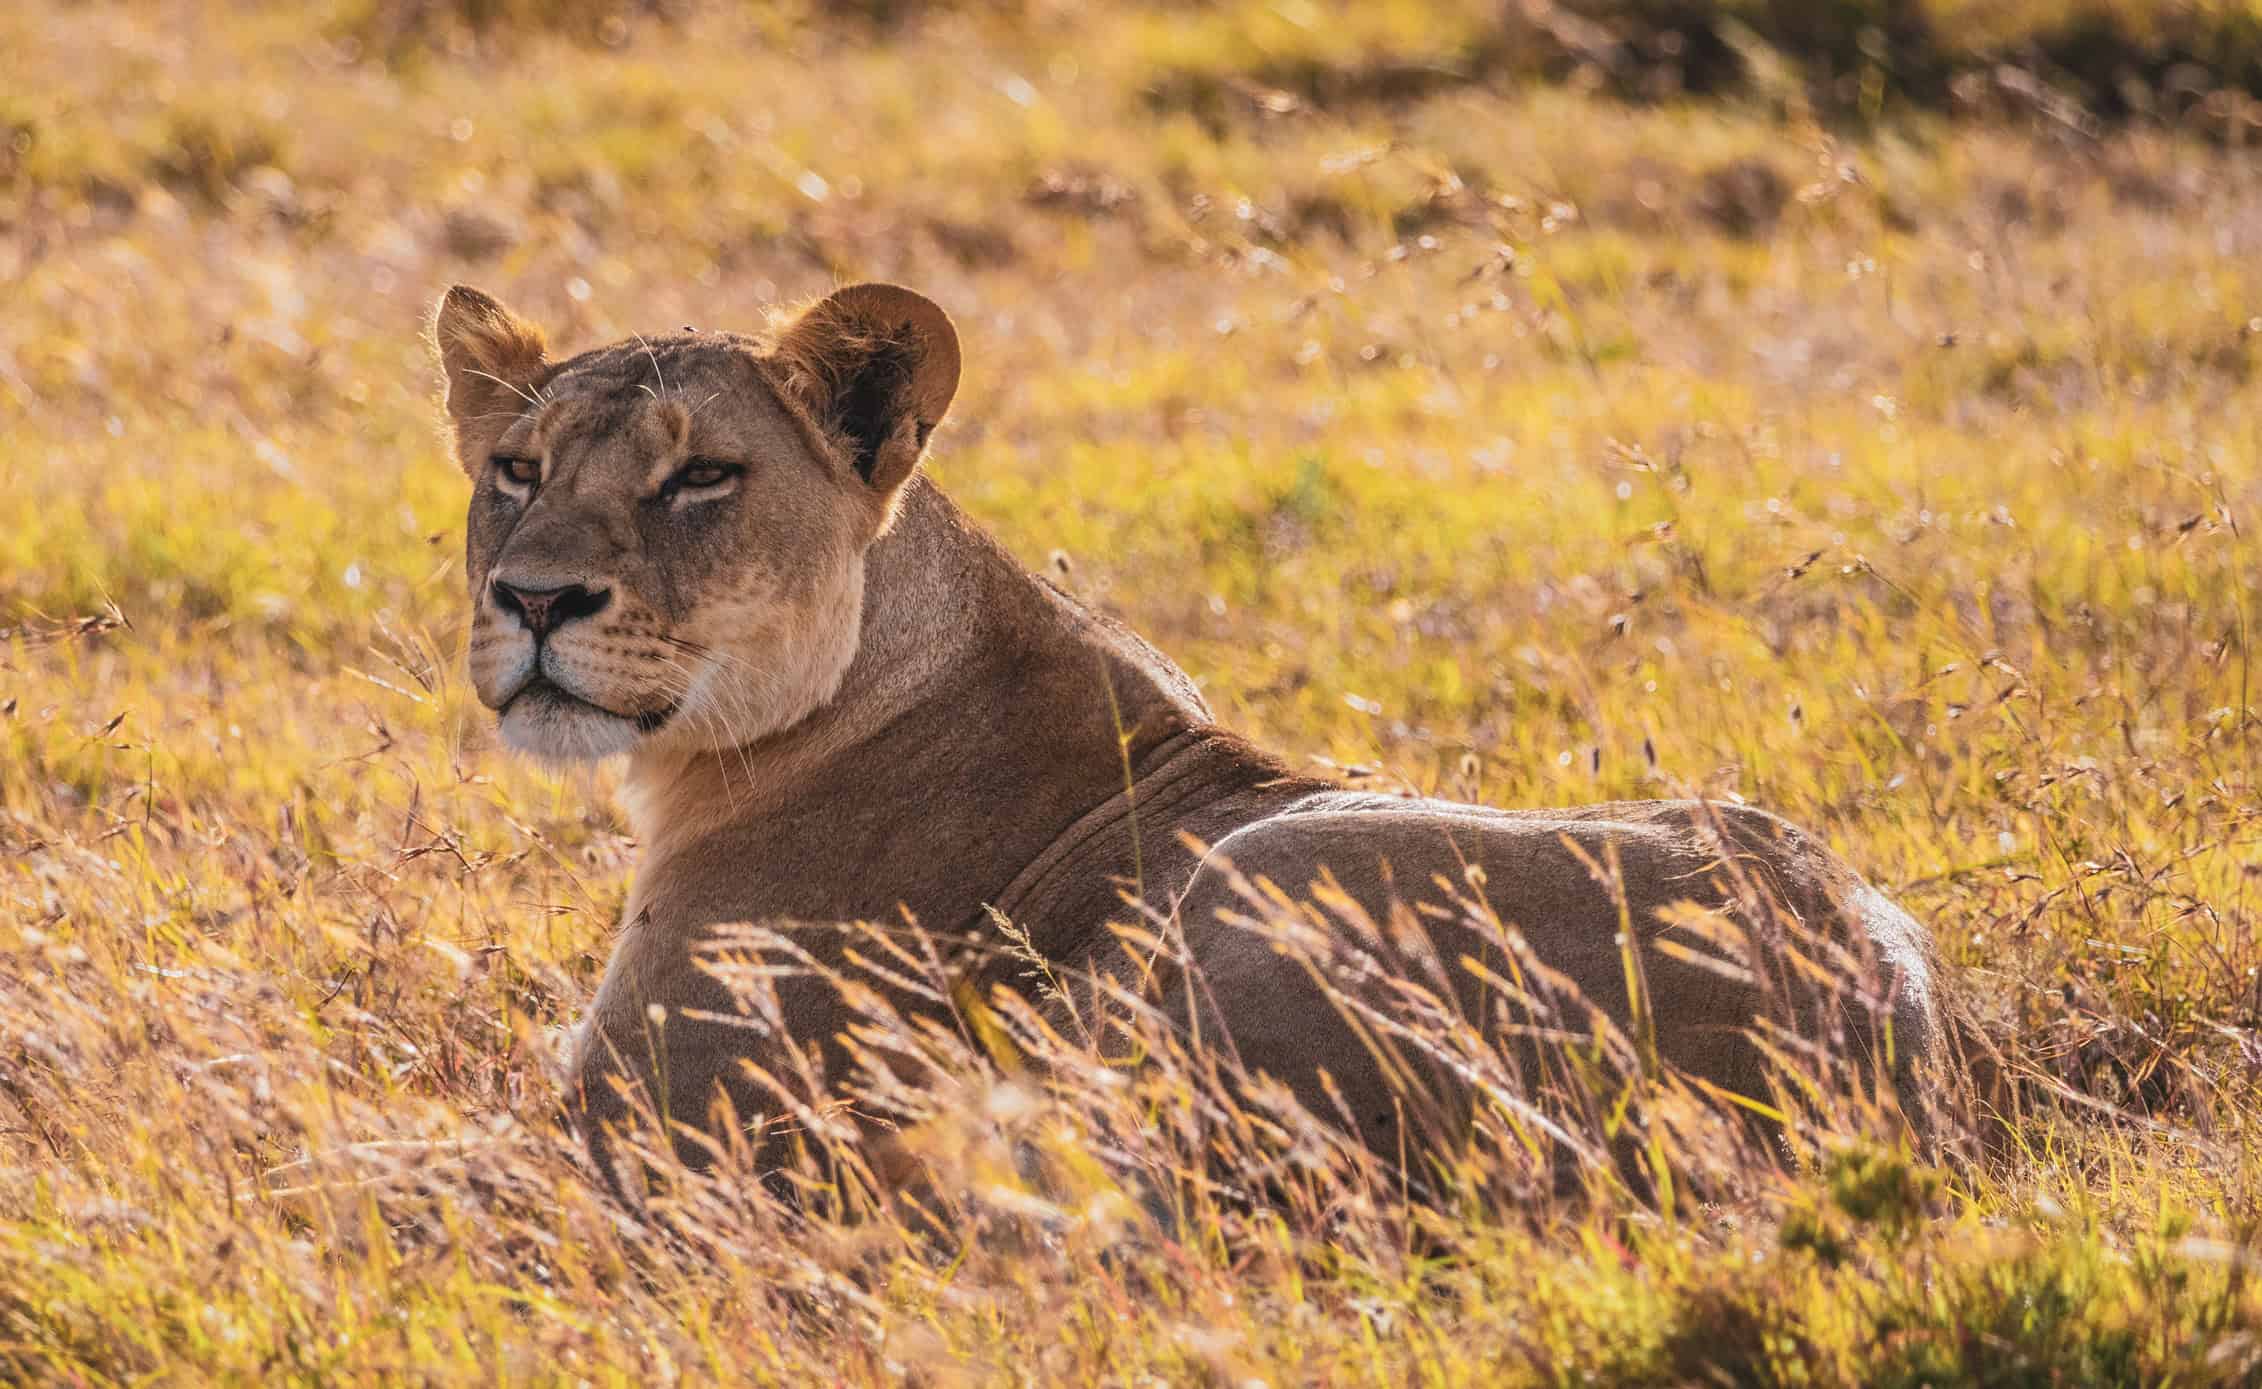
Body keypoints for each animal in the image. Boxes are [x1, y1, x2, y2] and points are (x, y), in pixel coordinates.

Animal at [431, 280, 1944, 1195]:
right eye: (516, 471)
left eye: (701, 477)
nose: (536, 599)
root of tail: (1893, 1061)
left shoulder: (653, 1116)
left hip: (1239, 899)